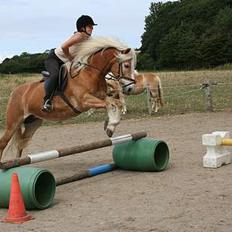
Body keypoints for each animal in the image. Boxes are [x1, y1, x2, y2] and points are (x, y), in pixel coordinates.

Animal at [0, 36, 137, 161]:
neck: (91, 74)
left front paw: (110, 127)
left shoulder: (101, 96)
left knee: (21, 143)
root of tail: (14, 92)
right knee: (3, 143)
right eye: (126, 65)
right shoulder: (84, 101)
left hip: (33, 122)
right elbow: (111, 103)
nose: (130, 88)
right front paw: (111, 124)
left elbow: (115, 103)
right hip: (13, 122)